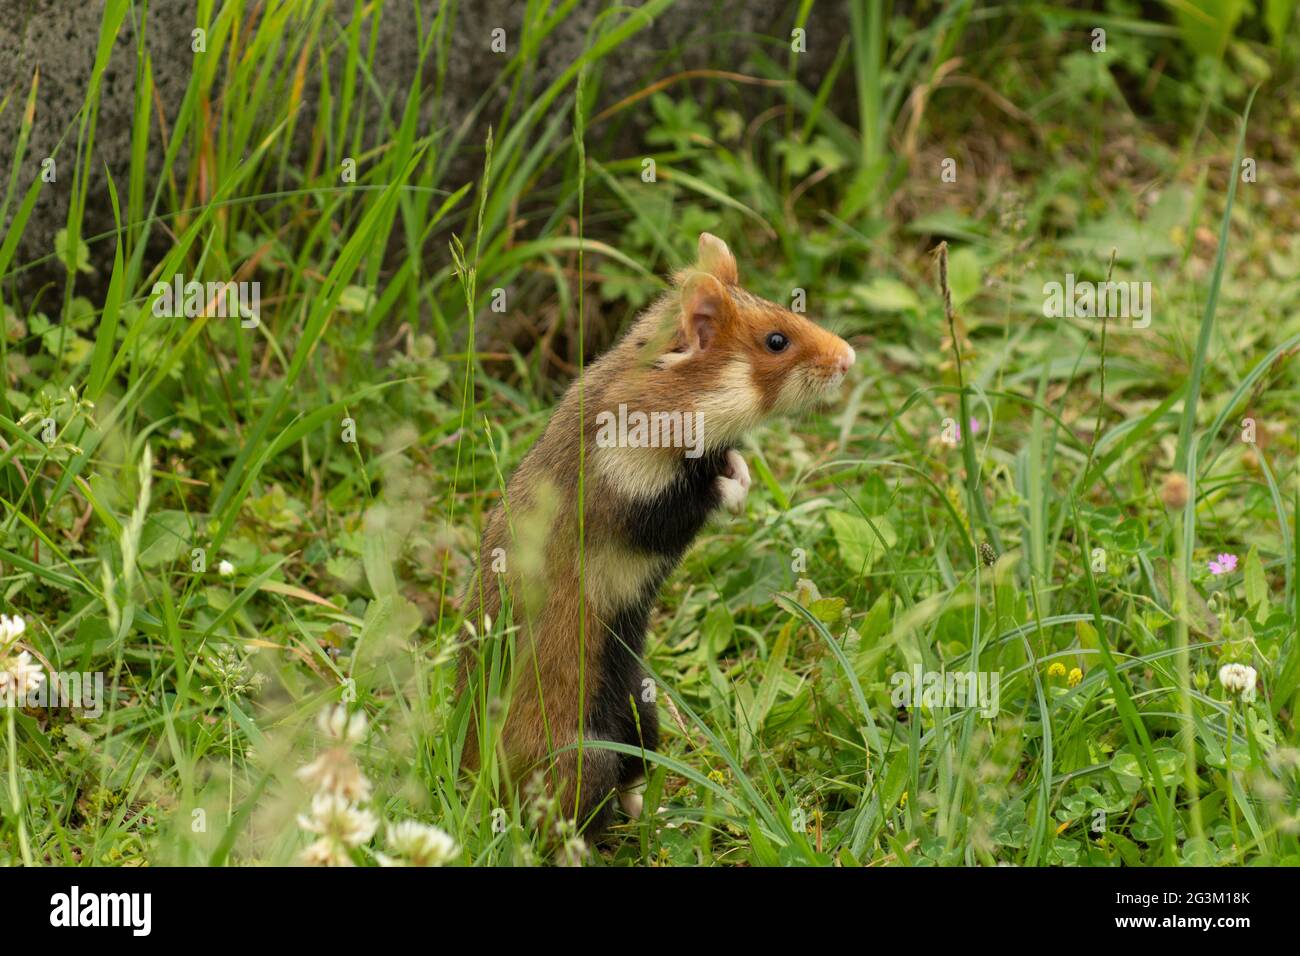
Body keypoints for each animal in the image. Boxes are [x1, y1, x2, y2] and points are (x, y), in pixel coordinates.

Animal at [462, 231, 857, 837]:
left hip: (639, 709)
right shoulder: (630, 497)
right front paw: (736, 491)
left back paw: (665, 817)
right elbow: (692, 500)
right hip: (582, 751)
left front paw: (740, 470)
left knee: (634, 772)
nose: (850, 357)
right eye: (776, 340)